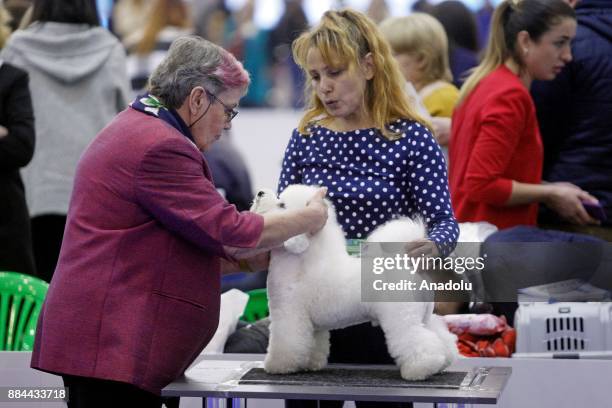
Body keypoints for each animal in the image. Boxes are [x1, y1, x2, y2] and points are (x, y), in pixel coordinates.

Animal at [251, 183, 456, 380]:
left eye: (282, 205)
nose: (260, 193)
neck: (302, 259)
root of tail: (408, 266)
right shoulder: (311, 326)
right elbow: (313, 345)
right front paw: (310, 364)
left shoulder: (288, 315)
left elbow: (286, 343)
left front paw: (277, 366)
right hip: (423, 315)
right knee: (439, 336)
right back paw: (443, 362)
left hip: (401, 315)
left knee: (416, 339)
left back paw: (420, 369)